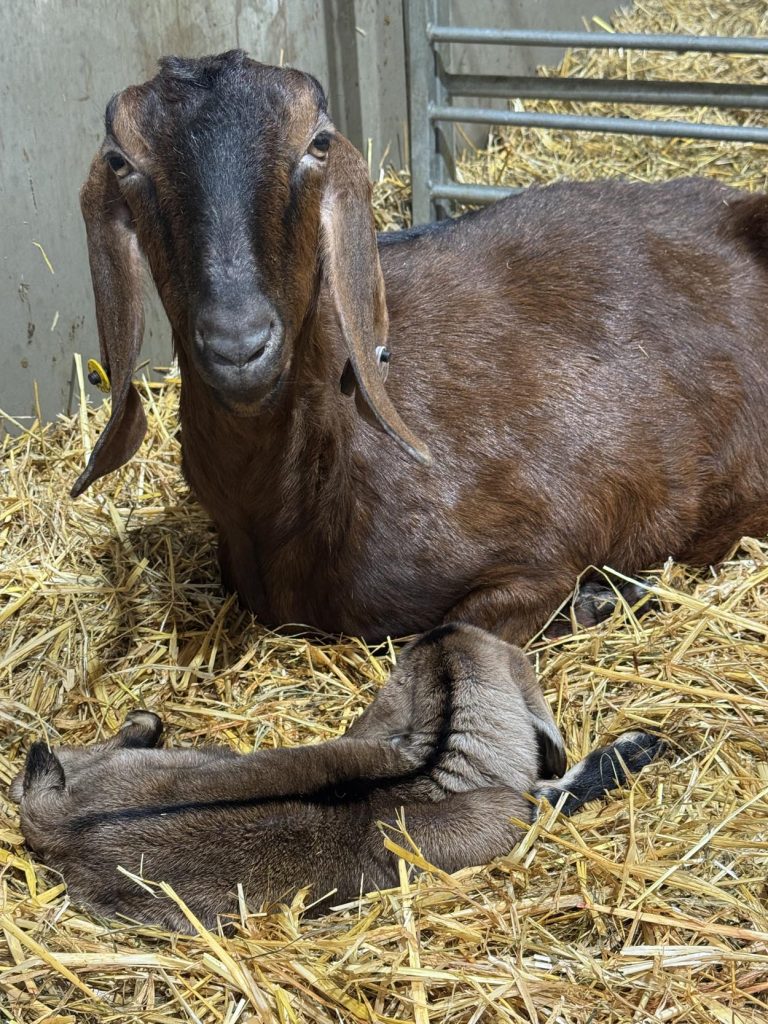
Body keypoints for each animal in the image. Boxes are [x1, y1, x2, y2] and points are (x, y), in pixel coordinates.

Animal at [11, 623, 663, 932]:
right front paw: (637, 747)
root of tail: (63, 826)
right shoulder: (511, 820)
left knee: (90, 747)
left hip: (182, 758)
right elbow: (559, 796)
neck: (437, 764)